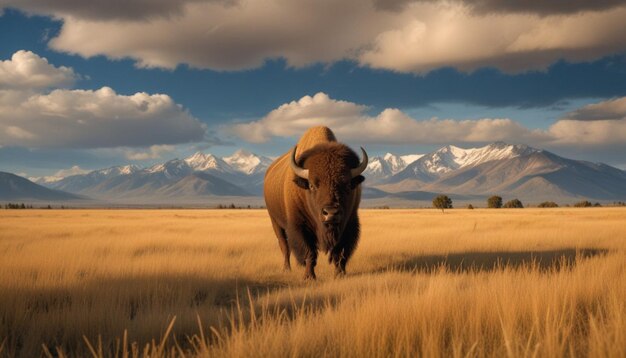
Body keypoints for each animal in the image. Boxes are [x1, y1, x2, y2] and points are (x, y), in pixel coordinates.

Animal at [262, 126, 366, 280]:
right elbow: (309, 252)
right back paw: (286, 269)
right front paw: (309, 277)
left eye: (347, 185)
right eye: (311, 185)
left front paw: (340, 275)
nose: (331, 213)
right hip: (275, 222)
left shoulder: (349, 224)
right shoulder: (299, 226)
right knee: (285, 246)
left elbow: (340, 253)